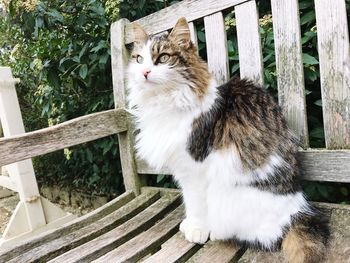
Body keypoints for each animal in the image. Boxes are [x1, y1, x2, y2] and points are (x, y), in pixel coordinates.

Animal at [127, 17, 330, 262]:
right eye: (139, 59)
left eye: (163, 58)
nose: (145, 72)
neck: (165, 102)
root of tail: (297, 210)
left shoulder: (194, 168)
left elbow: (195, 203)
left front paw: (197, 229)